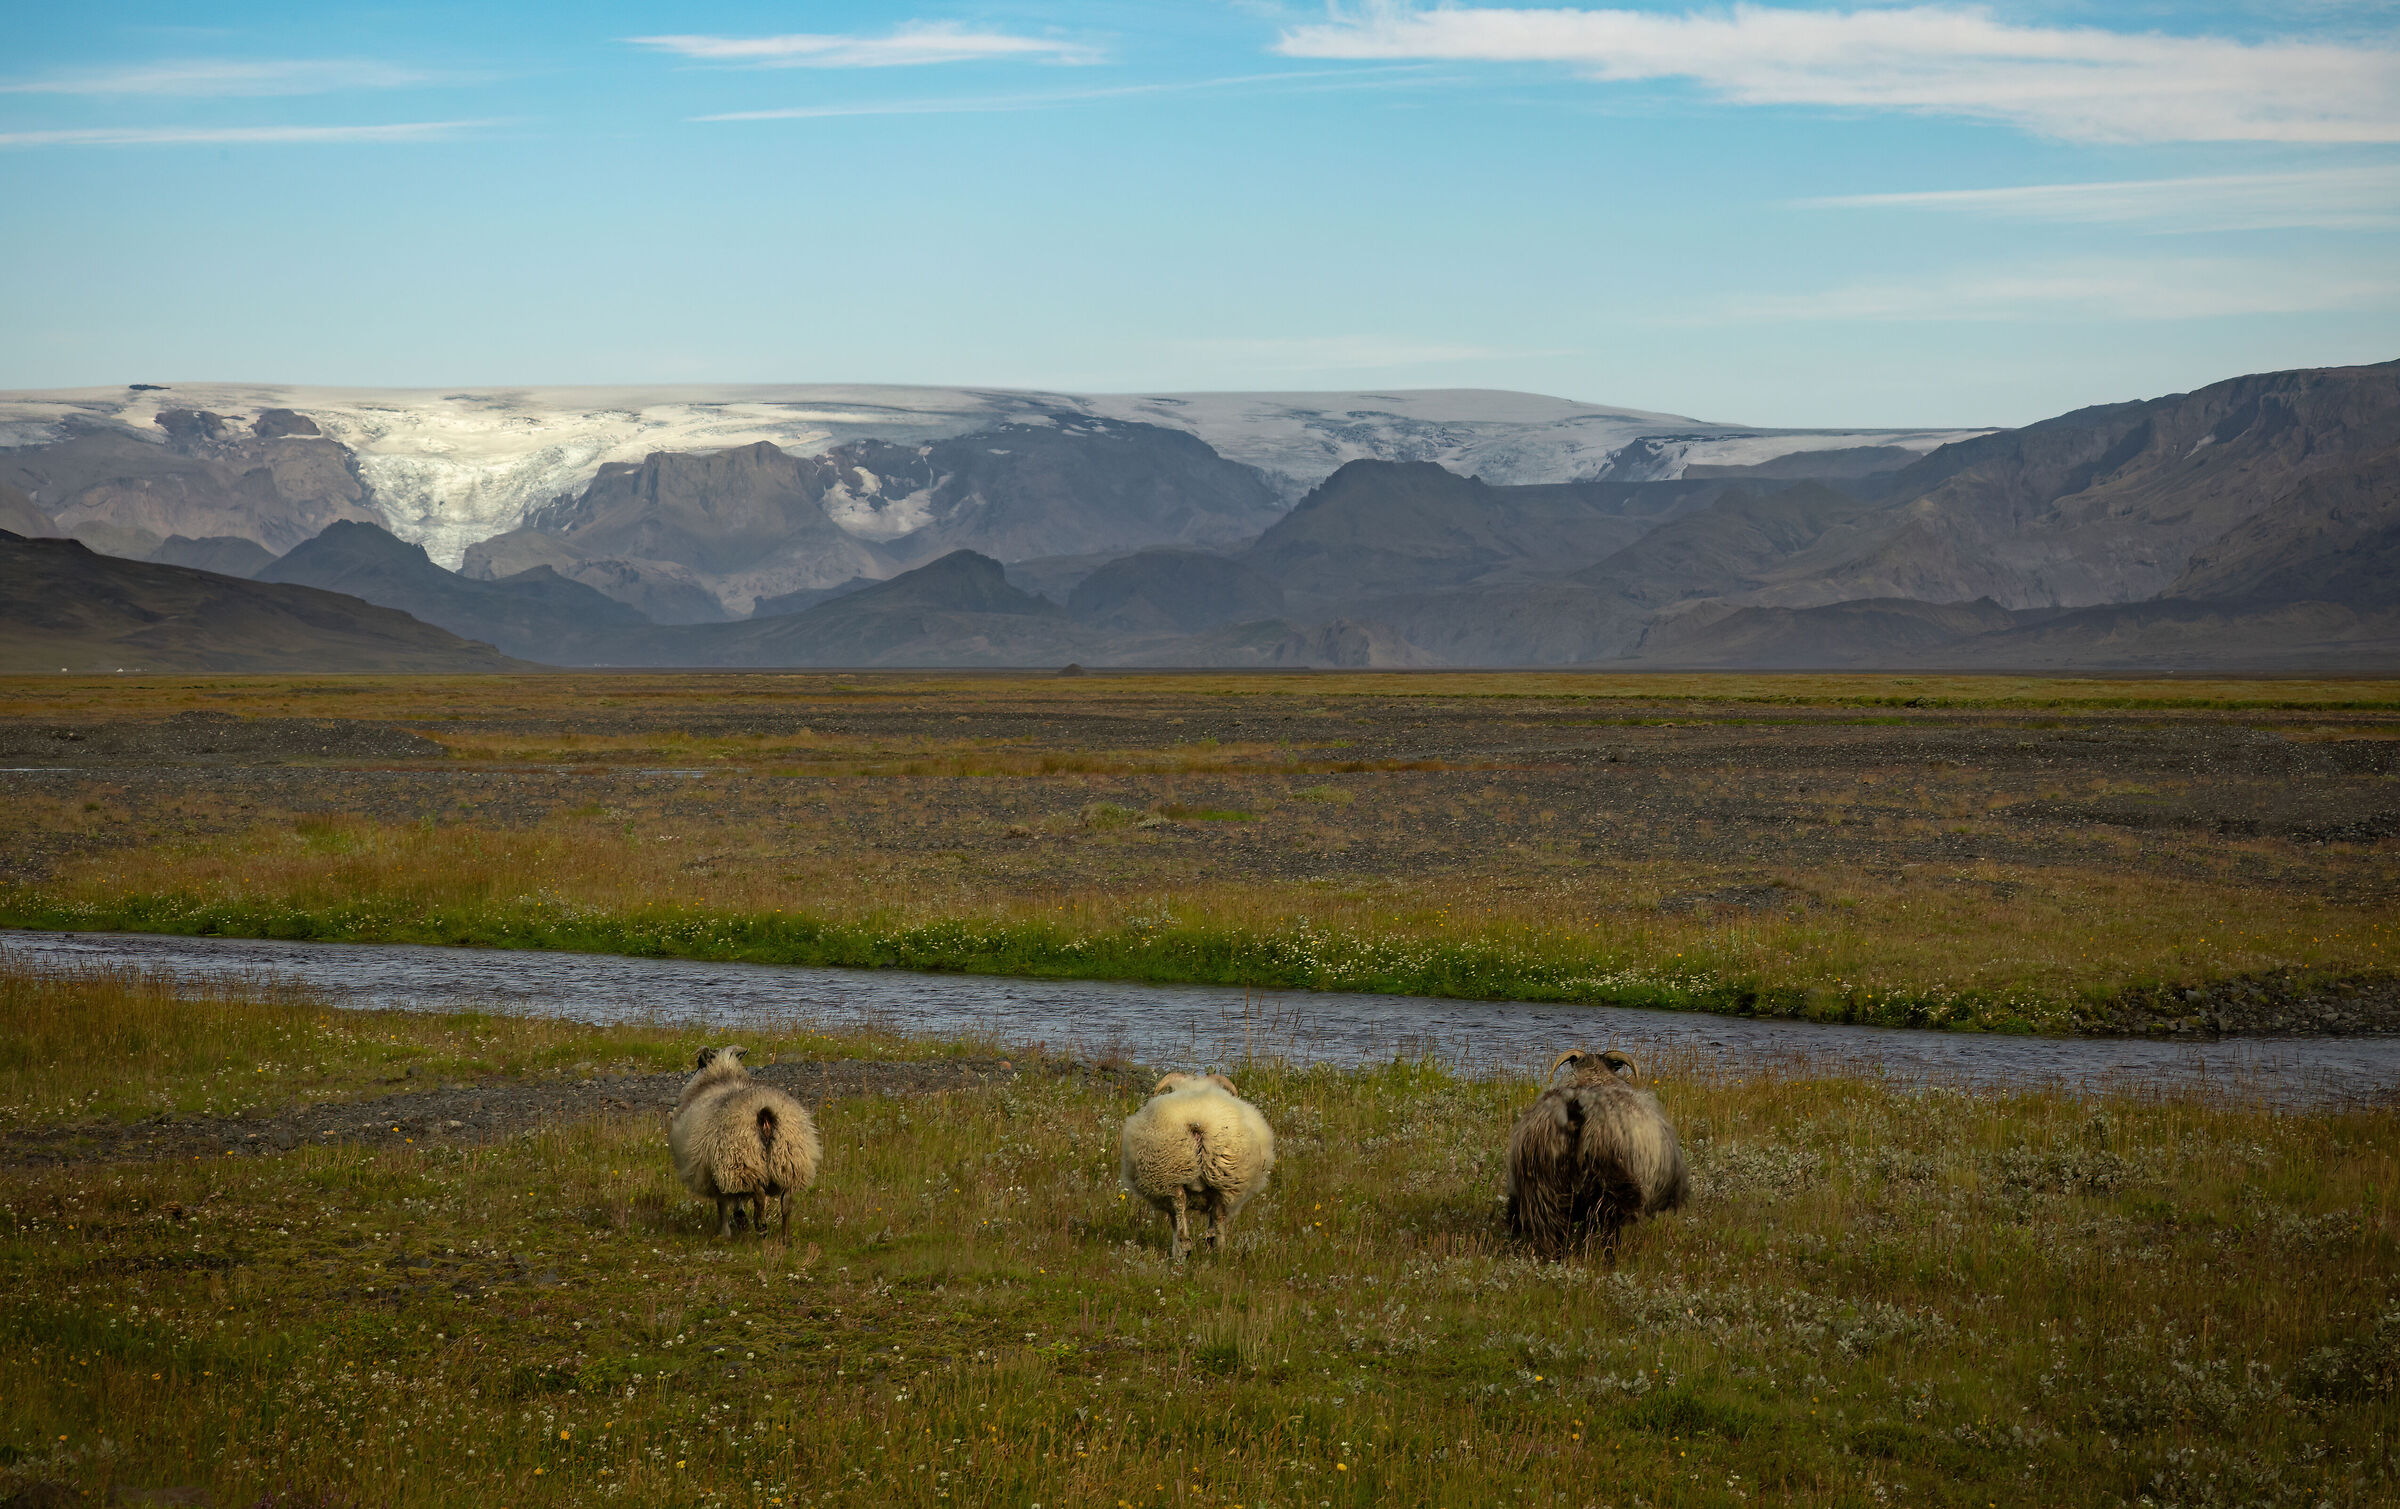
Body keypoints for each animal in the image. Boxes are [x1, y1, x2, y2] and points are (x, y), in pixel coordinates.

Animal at [669, 1045, 823, 1239]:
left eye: (699, 1063)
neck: (722, 1075)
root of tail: (764, 1111)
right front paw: (739, 1220)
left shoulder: (716, 1172)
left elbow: (723, 1203)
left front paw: (726, 1231)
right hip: (790, 1159)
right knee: (786, 1201)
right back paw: (784, 1238)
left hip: (741, 1159)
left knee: (758, 1193)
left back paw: (761, 1225)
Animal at [1119, 1072, 1275, 1262]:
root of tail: (1197, 1122)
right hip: (1219, 1181)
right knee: (1214, 1214)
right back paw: (1213, 1250)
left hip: (1172, 1173)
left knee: (1181, 1207)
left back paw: (1186, 1249)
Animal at [1506, 1048, 1687, 1259]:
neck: (1593, 1074)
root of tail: (1577, 1108)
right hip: (1609, 1186)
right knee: (1605, 1228)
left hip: (1543, 1186)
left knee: (1554, 1229)